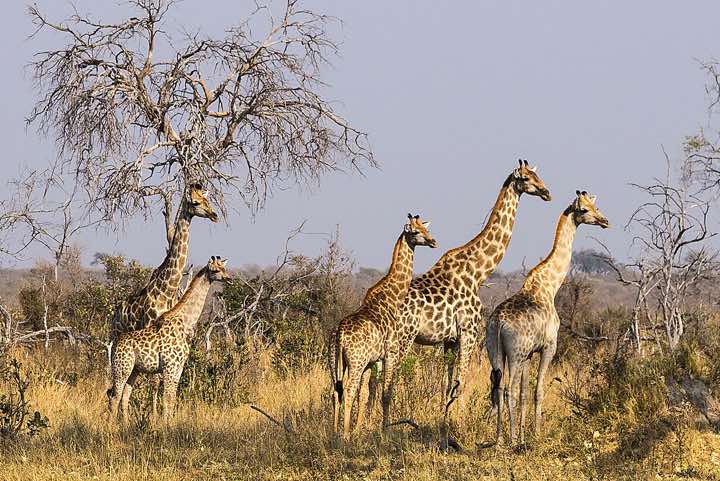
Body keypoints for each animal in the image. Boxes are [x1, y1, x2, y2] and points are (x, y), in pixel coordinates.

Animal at [108, 256, 230, 422]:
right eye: (216, 270)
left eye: (224, 268)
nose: (229, 279)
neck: (186, 322)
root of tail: (114, 344)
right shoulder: (169, 366)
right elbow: (166, 399)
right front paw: (165, 426)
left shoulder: (179, 367)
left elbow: (172, 399)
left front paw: (170, 423)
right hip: (122, 368)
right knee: (114, 397)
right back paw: (112, 426)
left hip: (134, 370)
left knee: (125, 395)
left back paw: (125, 425)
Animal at [332, 214, 437, 439]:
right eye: (416, 232)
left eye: (427, 229)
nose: (434, 242)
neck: (391, 298)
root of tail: (341, 334)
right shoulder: (391, 353)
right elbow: (386, 393)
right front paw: (384, 430)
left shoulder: (372, 360)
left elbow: (367, 393)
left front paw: (360, 429)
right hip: (355, 362)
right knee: (349, 389)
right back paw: (344, 436)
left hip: (340, 362)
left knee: (337, 390)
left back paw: (335, 432)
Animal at [378, 160, 551, 431]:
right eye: (525, 178)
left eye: (537, 175)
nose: (546, 192)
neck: (477, 271)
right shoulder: (469, 332)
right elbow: (461, 381)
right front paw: (457, 424)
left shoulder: (450, 339)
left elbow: (446, 384)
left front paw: (444, 420)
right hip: (403, 338)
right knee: (388, 379)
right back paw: (385, 426)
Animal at [486, 191, 609, 446]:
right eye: (584, 210)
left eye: (596, 206)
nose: (604, 221)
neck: (549, 287)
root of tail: (498, 322)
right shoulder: (548, 346)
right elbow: (538, 390)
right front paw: (536, 434)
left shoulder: (530, 354)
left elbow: (525, 392)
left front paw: (525, 434)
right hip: (515, 353)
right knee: (508, 389)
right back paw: (511, 439)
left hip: (495, 350)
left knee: (499, 387)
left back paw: (500, 438)